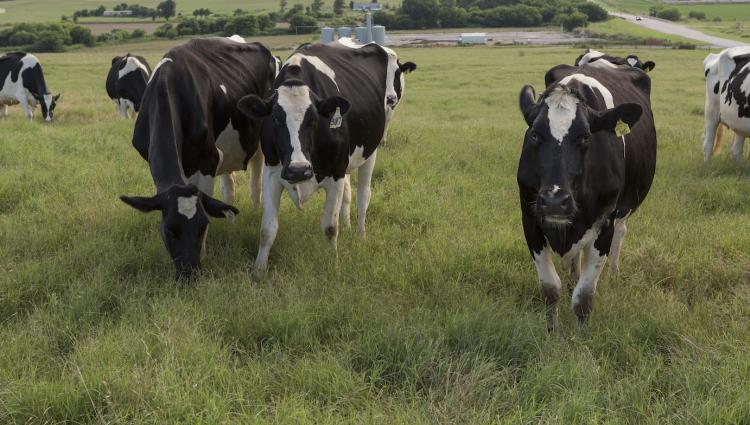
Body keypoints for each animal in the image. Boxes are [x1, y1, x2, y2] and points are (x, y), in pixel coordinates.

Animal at [122, 37, 278, 282]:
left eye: (203, 226)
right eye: (169, 229)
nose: (190, 275)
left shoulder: (207, 159)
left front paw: (204, 253)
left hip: (260, 139)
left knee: (256, 179)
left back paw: (254, 210)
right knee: (229, 184)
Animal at [239, 40, 394, 278]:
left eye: (313, 119)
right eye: (275, 119)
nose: (298, 169)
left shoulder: (336, 173)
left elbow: (330, 227)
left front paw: (333, 263)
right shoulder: (272, 173)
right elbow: (267, 229)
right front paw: (258, 270)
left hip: (371, 151)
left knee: (363, 196)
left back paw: (360, 235)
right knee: (348, 196)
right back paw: (348, 226)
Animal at [516, 63, 656, 330]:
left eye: (586, 136)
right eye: (534, 134)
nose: (554, 202)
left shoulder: (604, 224)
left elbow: (583, 298)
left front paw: (581, 336)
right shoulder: (530, 220)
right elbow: (550, 289)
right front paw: (551, 331)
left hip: (623, 209)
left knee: (621, 233)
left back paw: (613, 273)